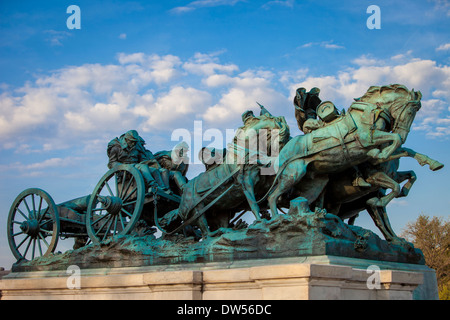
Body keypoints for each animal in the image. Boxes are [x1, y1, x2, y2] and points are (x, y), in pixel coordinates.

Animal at [268, 84, 424, 216]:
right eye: (410, 112)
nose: (404, 133)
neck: (368, 112)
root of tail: (284, 150)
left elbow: (405, 159)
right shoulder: (367, 139)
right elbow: (396, 139)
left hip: (314, 185)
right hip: (293, 174)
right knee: (272, 197)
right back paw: (277, 219)